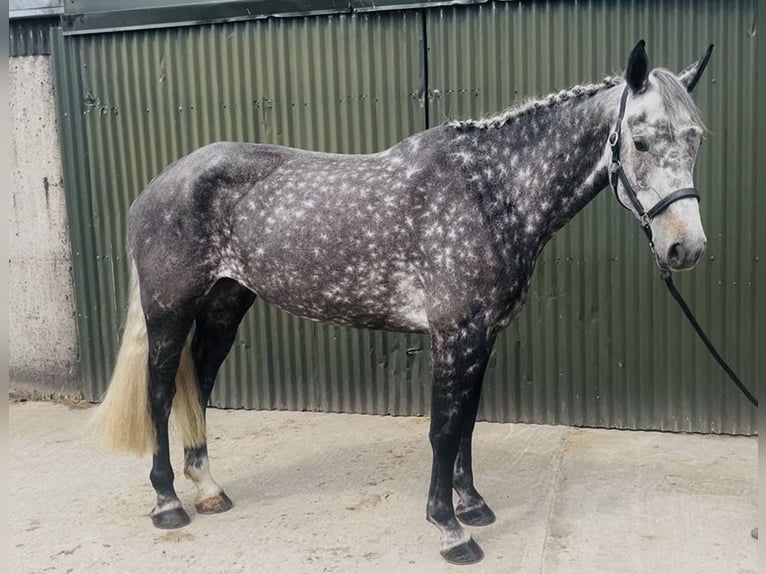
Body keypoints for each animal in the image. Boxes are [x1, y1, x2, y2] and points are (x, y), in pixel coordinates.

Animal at [93, 40, 712, 565]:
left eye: (696, 139)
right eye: (640, 141)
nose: (685, 248)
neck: (491, 190)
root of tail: (156, 187)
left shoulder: (482, 335)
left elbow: (466, 423)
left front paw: (472, 506)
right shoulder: (454, 334)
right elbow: (443, 428)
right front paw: (450, 529)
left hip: (225, 306)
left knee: (197, 387)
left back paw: (208, 488)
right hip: (169, 311)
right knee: (158, 393)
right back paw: (168, 503)